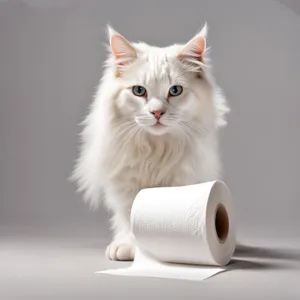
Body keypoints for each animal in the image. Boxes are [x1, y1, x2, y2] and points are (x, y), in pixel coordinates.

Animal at [71, 24, 230, 260]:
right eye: (139, 91)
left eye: (175, 91)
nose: (157, 112)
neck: (155, 150)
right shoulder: (126, 185)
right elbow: (129, 219)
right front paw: (129, 248)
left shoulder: (180, 181)